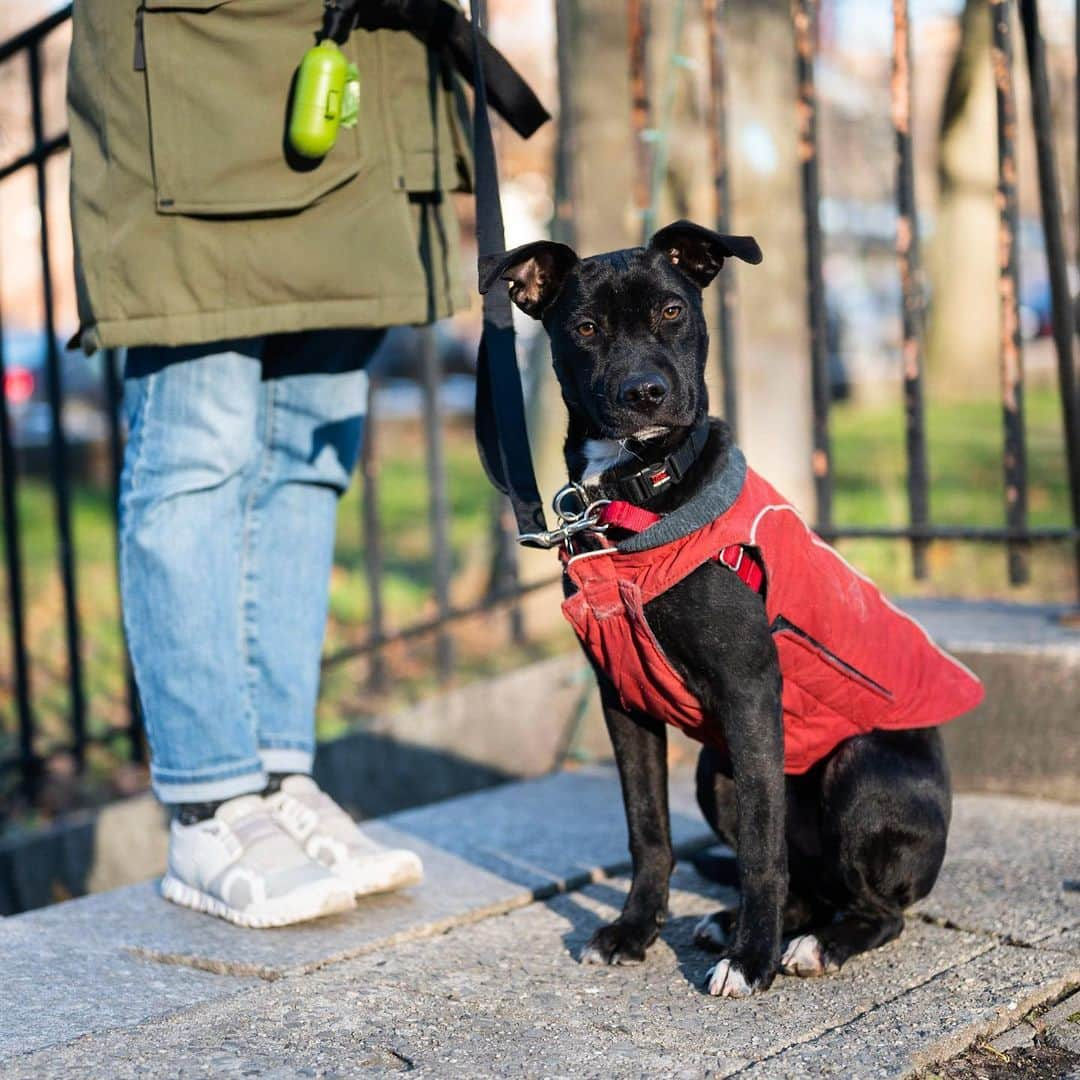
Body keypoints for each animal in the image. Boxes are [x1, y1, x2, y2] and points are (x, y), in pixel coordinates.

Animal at [481, 223, 954, 997]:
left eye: (673, 311)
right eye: (585, 328)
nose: (646, 392)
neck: (636, 493)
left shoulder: (748, 692)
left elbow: (762, 849)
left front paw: (752, 961)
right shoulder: (622, 702)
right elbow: (648, 830)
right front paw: (635, 931)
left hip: (856, 772)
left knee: (875, 909)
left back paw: (813, 943)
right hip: (715, 772)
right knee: (805, 885)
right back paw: (733, 920)